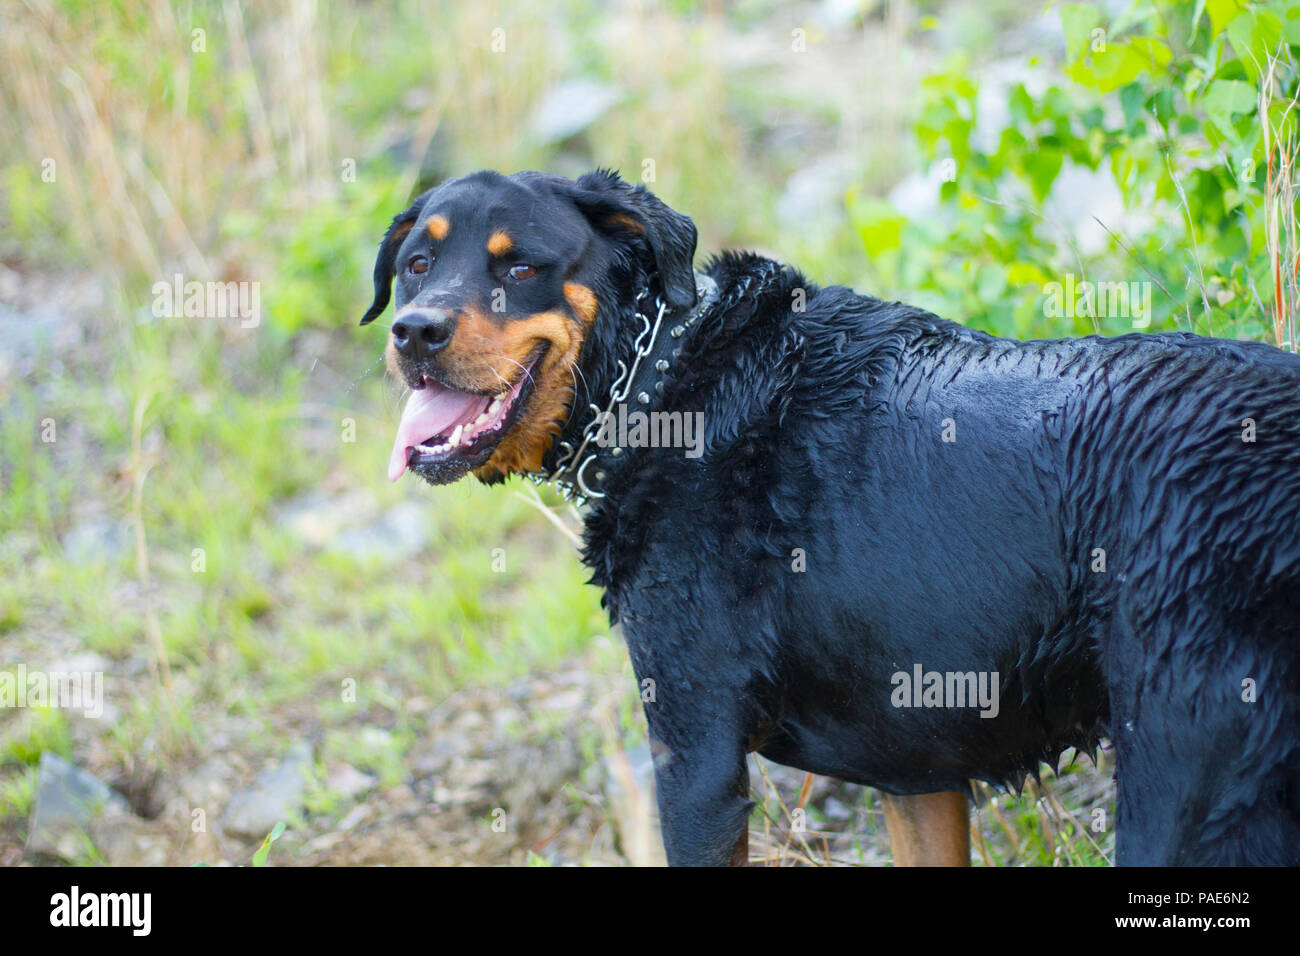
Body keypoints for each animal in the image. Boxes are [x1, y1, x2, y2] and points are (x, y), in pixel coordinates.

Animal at [361, 170, 1300, 868]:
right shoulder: (917, 769)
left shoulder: (695, 756)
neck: (659, 381)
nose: (415, 331)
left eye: (520, 268)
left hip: (1186, 779)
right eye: (416, 264)